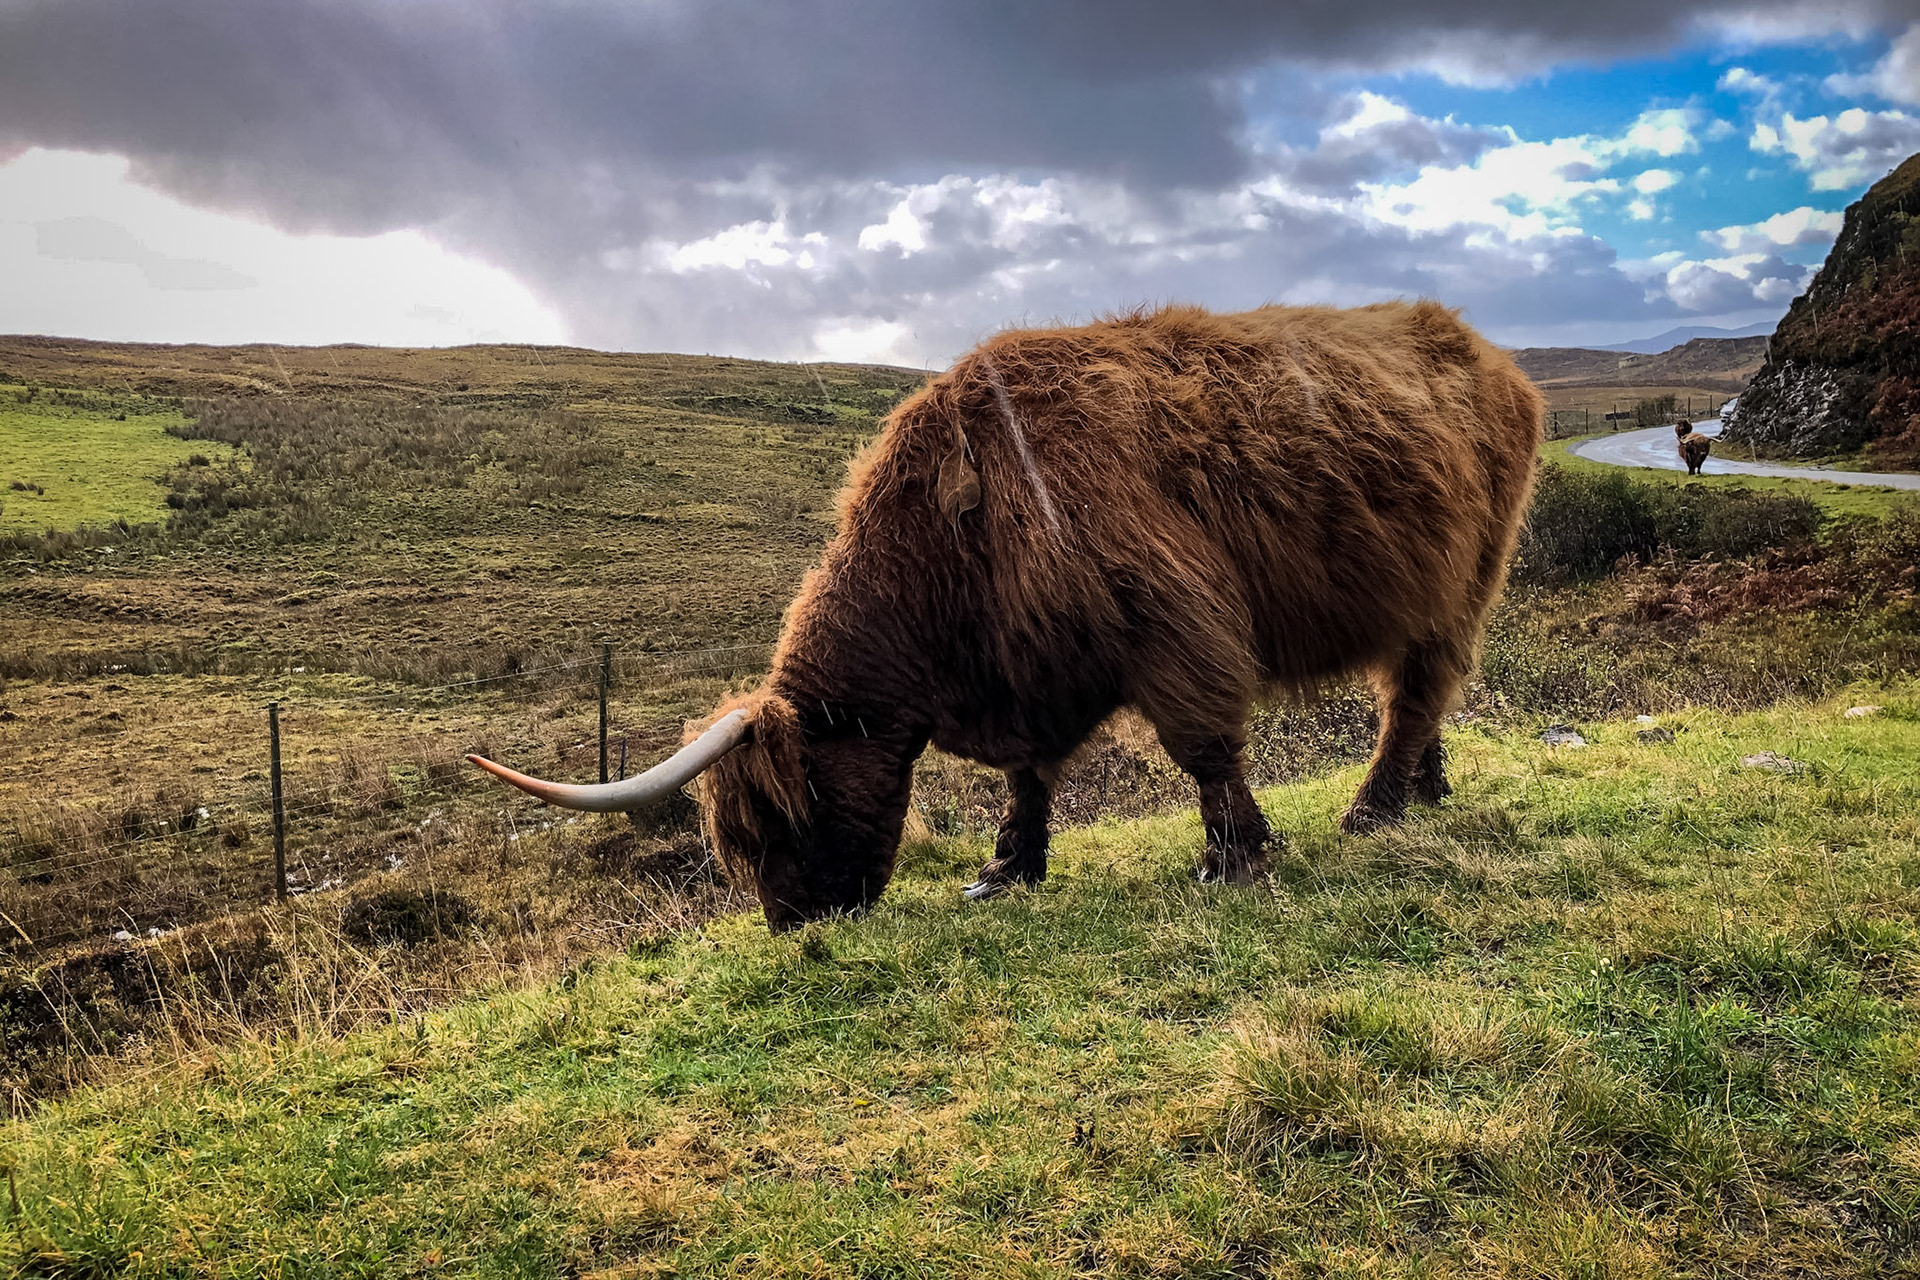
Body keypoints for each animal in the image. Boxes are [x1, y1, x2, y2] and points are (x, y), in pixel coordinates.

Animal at [469, 300, 1544, 932]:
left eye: (785, 813)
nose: (791, 921)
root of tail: (1487, 354)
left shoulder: (1173, 621)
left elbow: (1204, 747)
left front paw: (1234, 858)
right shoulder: (1035, 669)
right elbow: (1029, 777)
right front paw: (1006, 867)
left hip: (1464, 578)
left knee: (1417, 688)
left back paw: (1375, 807)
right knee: (1418, 695)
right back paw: (1425, 789)